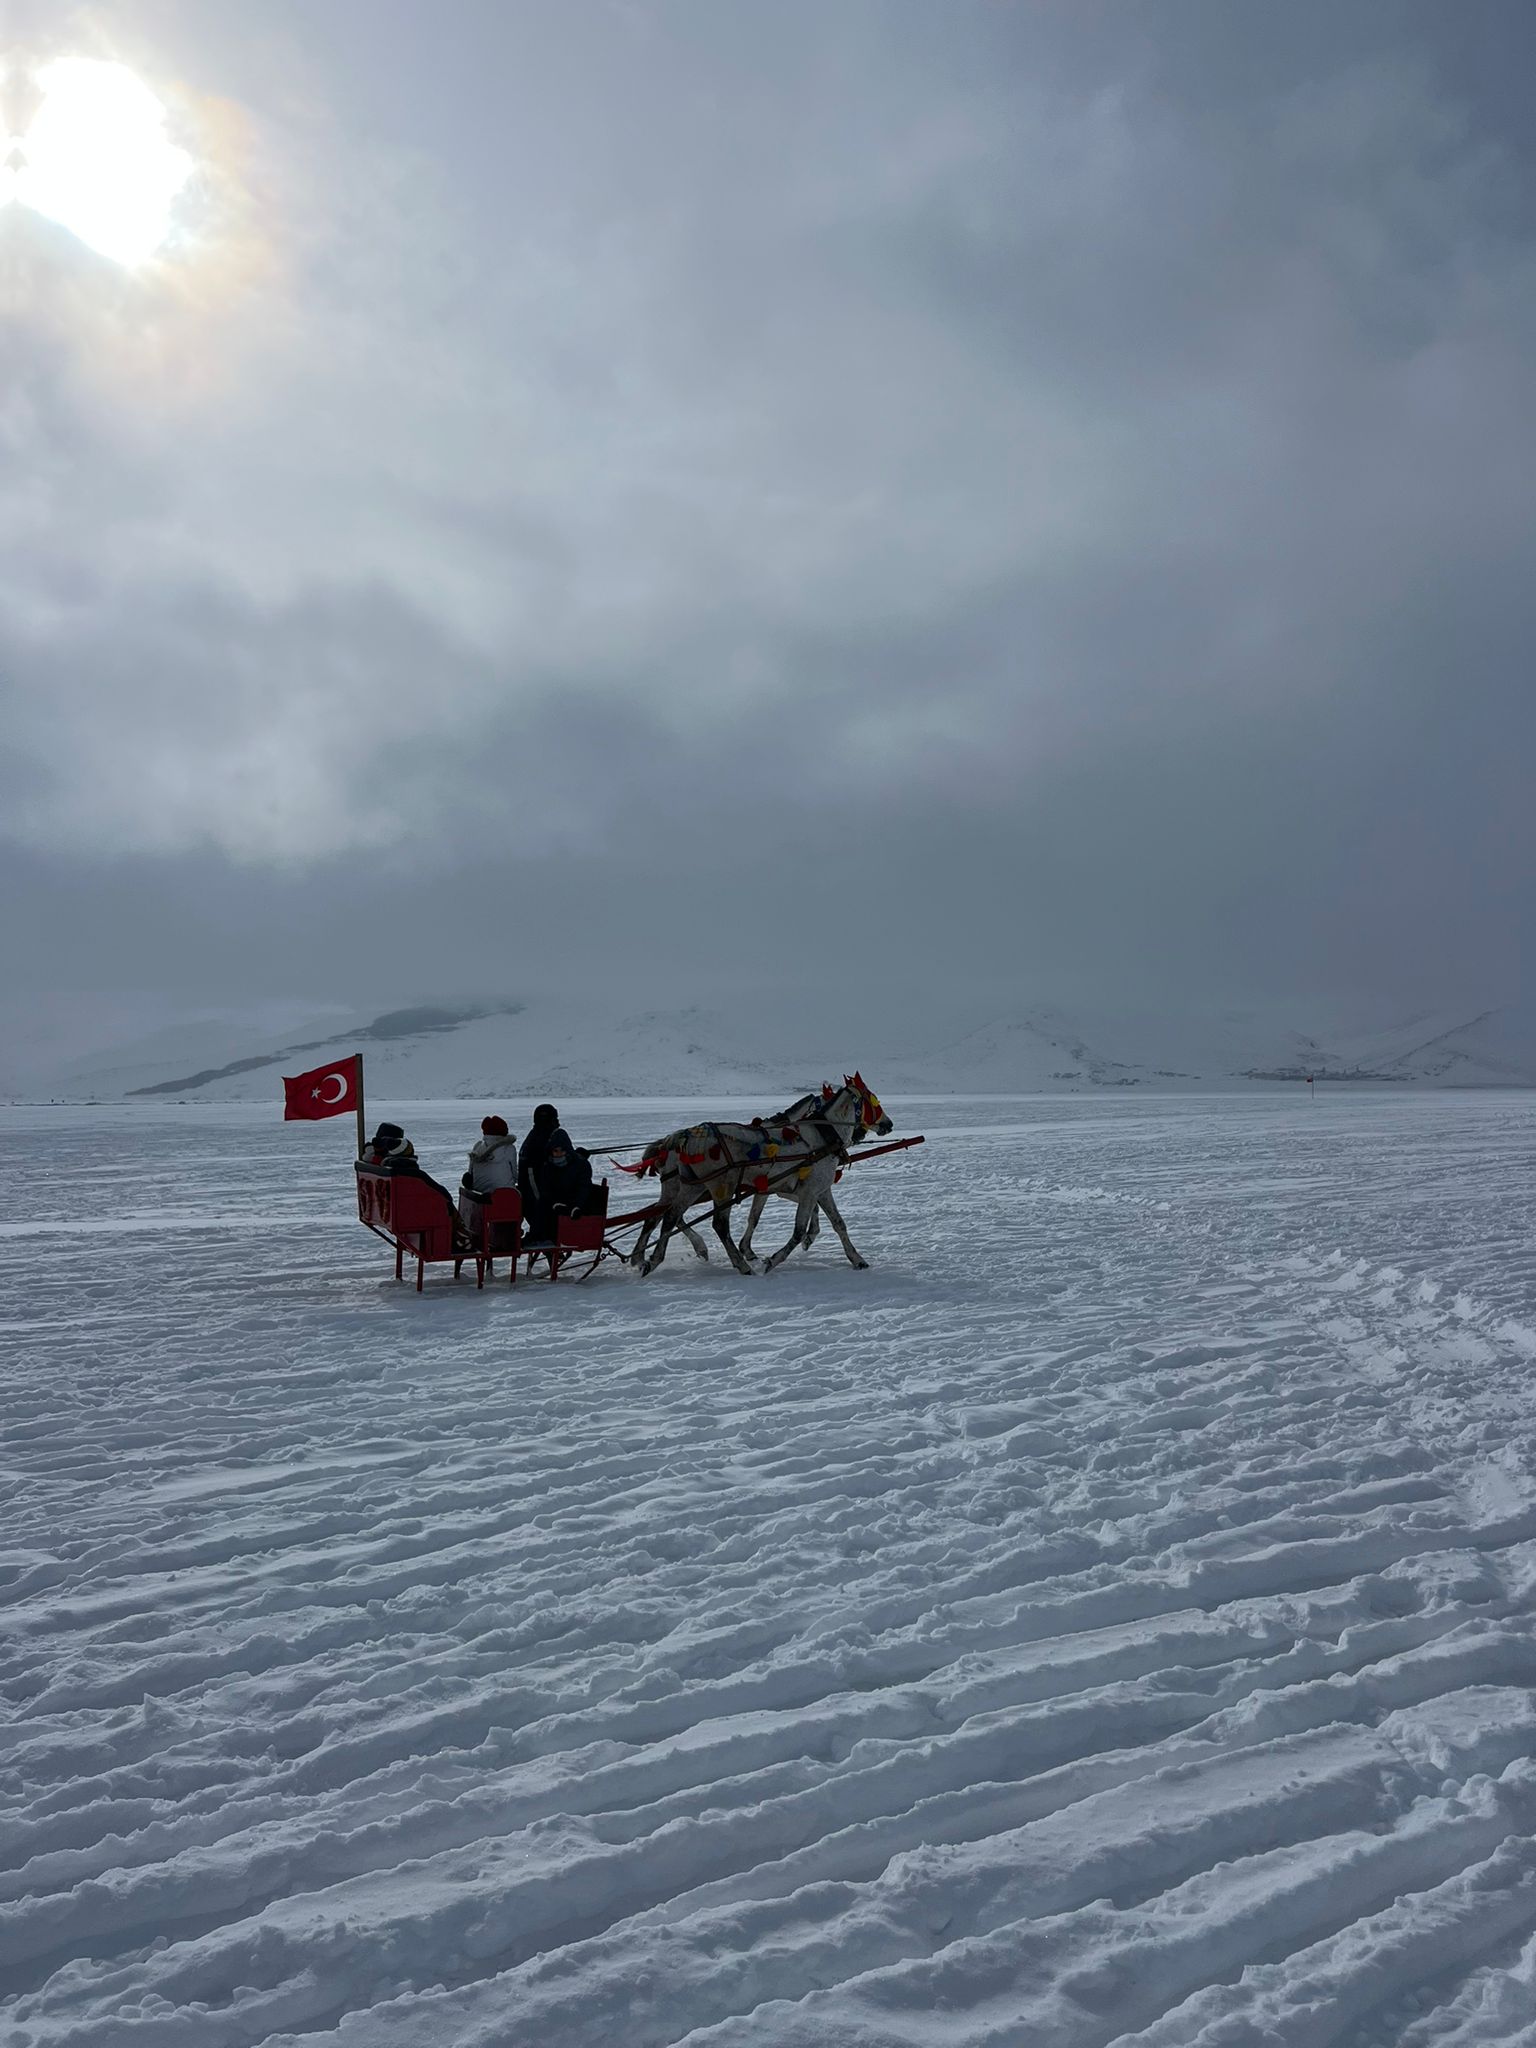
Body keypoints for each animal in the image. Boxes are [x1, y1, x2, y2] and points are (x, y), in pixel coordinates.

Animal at [622, 1081, 888, 1269]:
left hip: (688, 1186)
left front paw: (856, 1258)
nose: (889, 1124)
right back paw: (734, 1262)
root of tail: (680, 1138)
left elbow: (837, 1223)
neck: (821, 1136)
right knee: (714, 1223)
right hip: (720, 1186)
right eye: (874, 1102)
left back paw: (646, 1258)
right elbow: (792, 1227)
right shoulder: (798, 1190)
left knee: (663, 1216)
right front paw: (769, 1257)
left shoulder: (812, 1189)